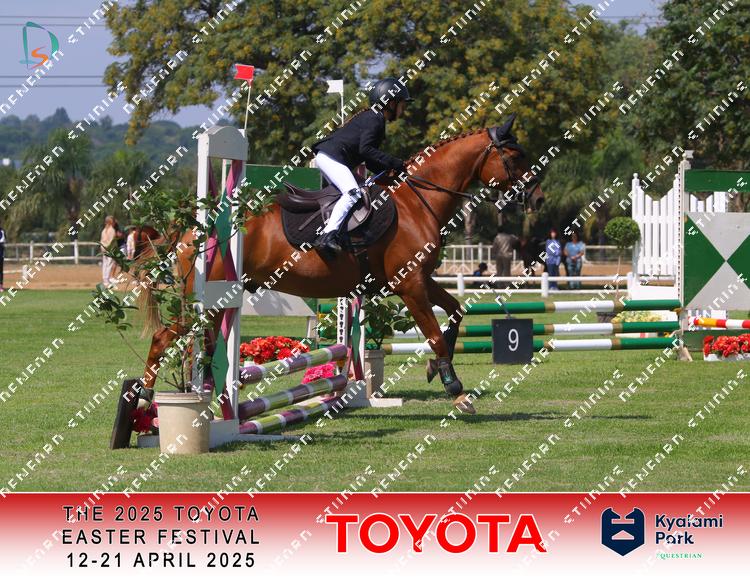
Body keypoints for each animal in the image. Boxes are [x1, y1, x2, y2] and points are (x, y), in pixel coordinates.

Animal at [141, 115, 544, 414]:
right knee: (165, 338)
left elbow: (456, 312)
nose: (538, 200)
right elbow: (433, 334)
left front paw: (434, 370)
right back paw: (146, 399)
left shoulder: (420, 279)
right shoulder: (409, 284)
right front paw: (456, 390)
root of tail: (196, 228)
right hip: (206, 302)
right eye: (516, 156)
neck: (419, 200)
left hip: (217, 303)